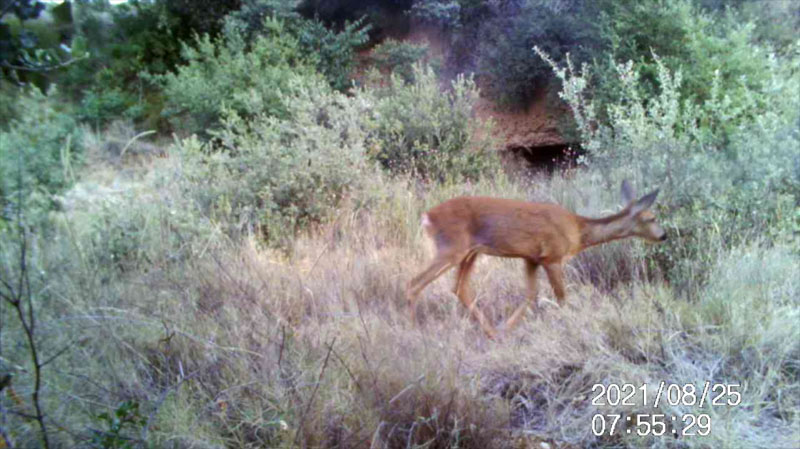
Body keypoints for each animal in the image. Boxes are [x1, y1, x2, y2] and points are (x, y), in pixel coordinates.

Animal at [406, 180, 668, 338]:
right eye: (652, 218)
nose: (664, 236)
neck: (578, 231)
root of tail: (427, 216)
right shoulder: (552, 256)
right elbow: (562, 297)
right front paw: (571, 327)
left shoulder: (530, 258)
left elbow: (531, 295)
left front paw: (507, 328)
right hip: (451, 247)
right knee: (414, 283)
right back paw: (414, 330)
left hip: (470, 252)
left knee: (459, 288)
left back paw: (491, 332)